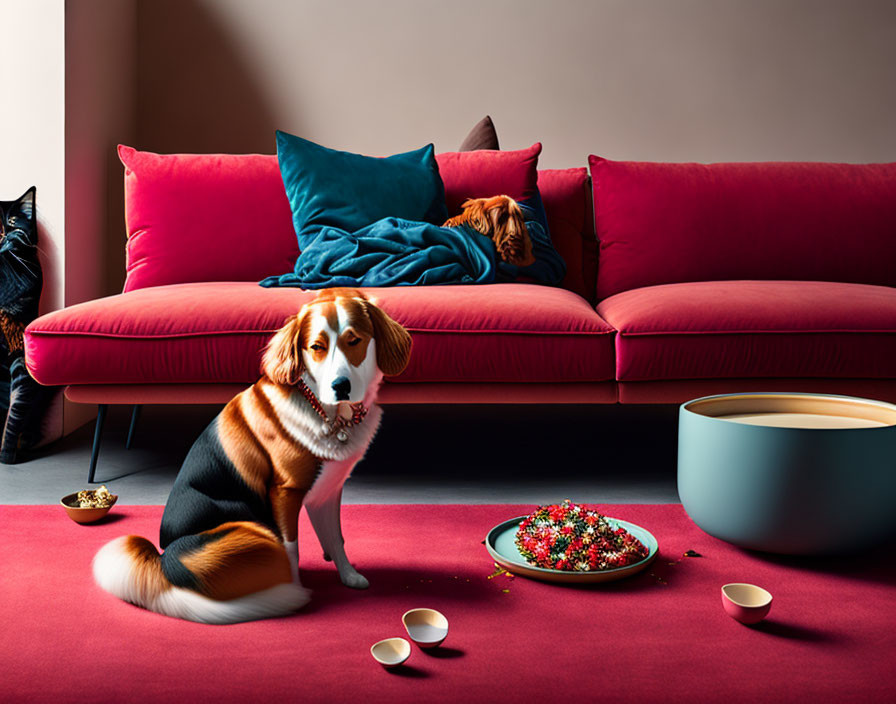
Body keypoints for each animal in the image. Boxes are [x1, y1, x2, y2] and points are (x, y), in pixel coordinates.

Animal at [91, 286, 412, 620]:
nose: (341, 386)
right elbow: (292, 548)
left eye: (354, 340)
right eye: (317, 347)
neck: (329, 415)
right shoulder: (285, 494)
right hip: (257, 533)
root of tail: (164, 562)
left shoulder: (327, 492)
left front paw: (349, 575)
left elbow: (336, 537)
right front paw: (295, 587)